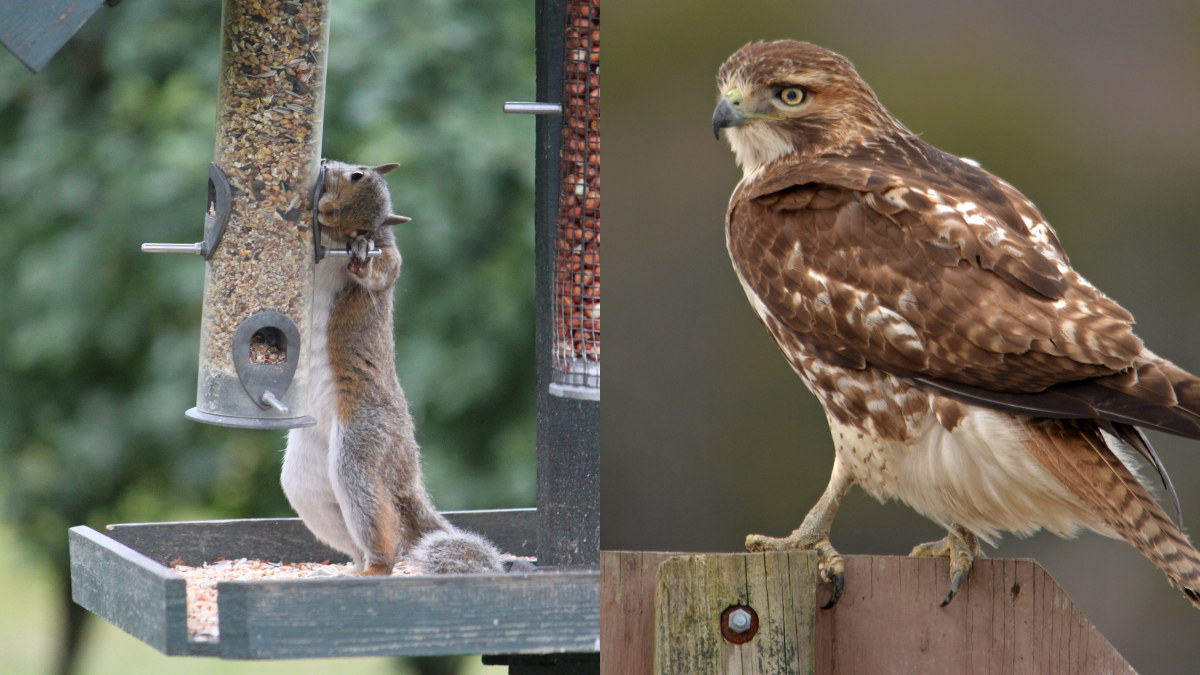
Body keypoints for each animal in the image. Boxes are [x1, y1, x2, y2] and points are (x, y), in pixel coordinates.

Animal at [280, 162, 530, 571]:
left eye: (364, 231)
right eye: (357, 173)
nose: (327, 209)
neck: (334, 241)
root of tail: (405, 471)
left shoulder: (388, 258)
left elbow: (385, 268)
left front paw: (363, 259)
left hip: (362, 446)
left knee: (383, 533)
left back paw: (376, 567)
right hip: (307, 478)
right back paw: (353, 569)